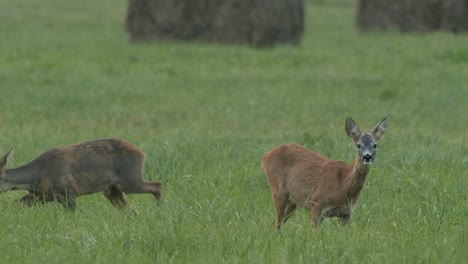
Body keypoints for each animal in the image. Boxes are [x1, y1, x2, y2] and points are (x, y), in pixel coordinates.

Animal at [0, 138, 163, 210]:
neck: (36, 177)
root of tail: (142, 153)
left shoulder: (67, 190)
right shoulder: (42, 195)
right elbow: (18, 204)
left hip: (129, 180)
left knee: (157, 185)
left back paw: (160, 209)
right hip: (112, 190)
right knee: (130, 209)